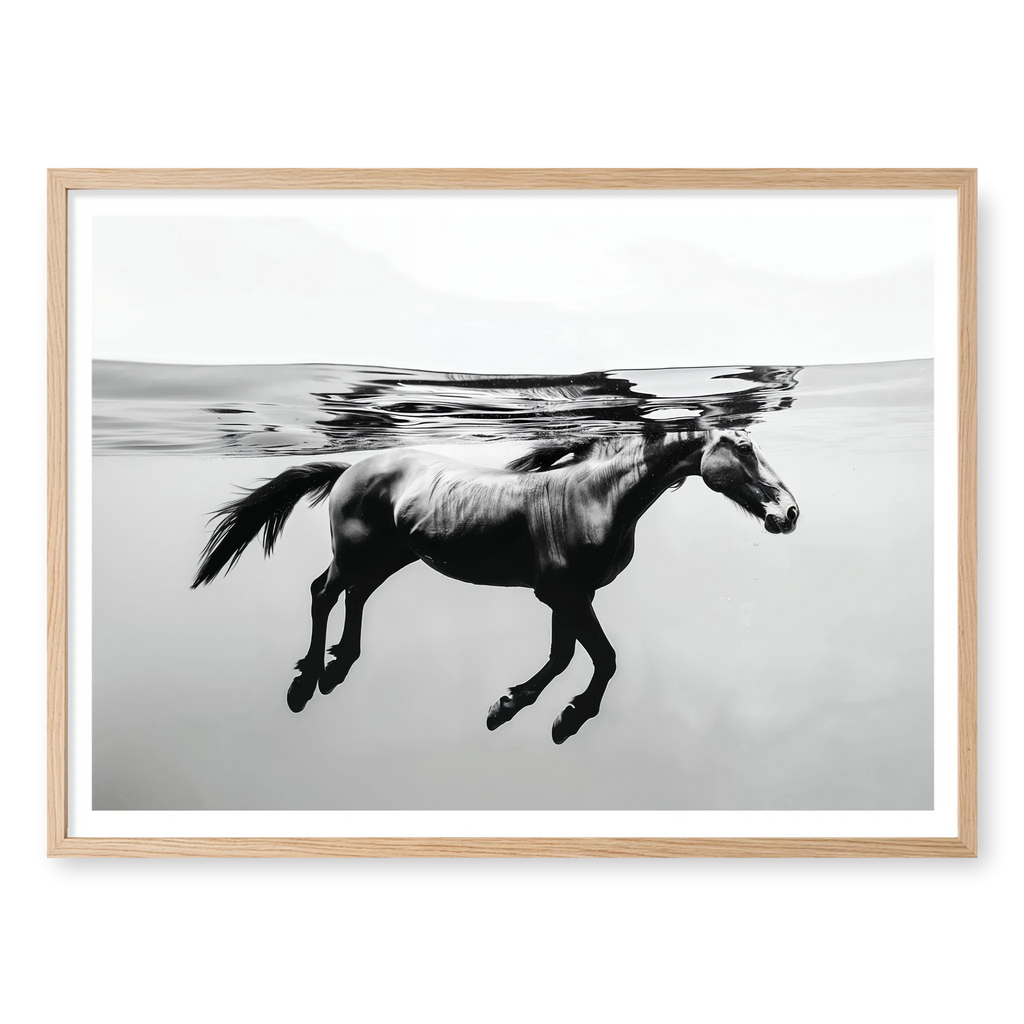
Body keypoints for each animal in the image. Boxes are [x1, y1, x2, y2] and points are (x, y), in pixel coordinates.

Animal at [191, 427, 799, 743]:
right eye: (744, 447)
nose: (789, 513)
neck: (596, 497)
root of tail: (349, 469)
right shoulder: (564, 594)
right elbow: (593, 657)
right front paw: (553, 715)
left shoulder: (571, 597)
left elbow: (571, 656)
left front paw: (524, 710)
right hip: (357, 554)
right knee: (323, 592)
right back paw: (306, 682)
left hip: (391, 558)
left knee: (354, 598)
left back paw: (336, 670)